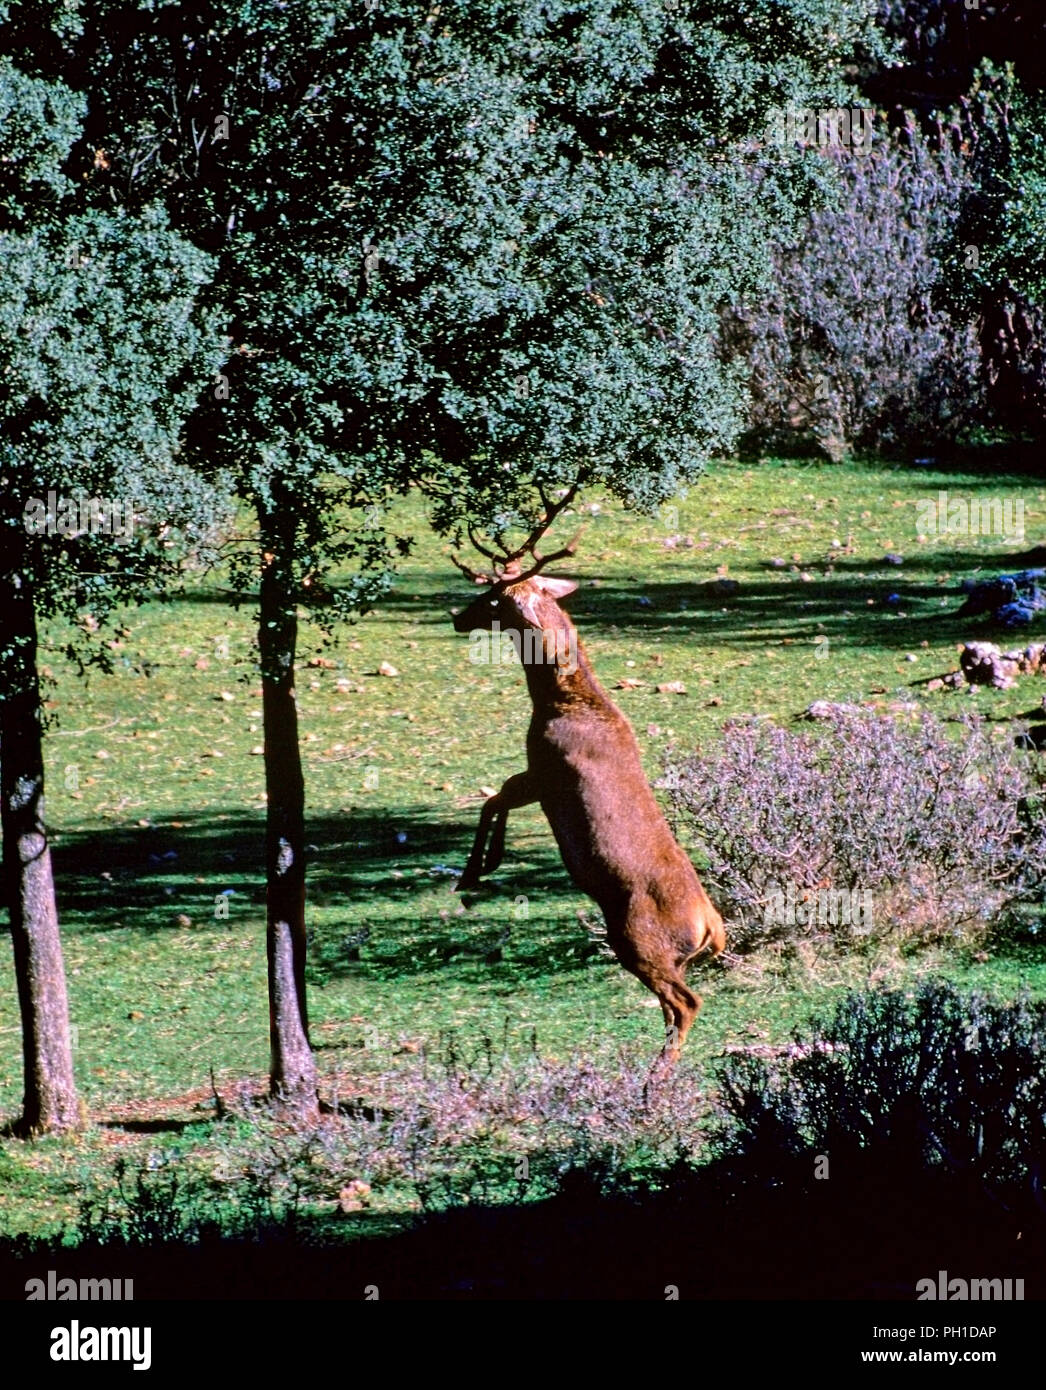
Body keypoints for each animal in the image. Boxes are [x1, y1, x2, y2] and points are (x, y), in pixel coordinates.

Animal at [450, 489, 726, 1072]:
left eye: (491, 597)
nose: (456, 617)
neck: (564, 703)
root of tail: (712, 928)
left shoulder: (545, 772)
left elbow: (494, 799)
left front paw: (475, 871)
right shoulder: (537, 774)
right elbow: (495, 798)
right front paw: (481, 868)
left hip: (638, 940)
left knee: (685, 1003)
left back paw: (653, 1077)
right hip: (663, 954)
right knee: (676, 1006)